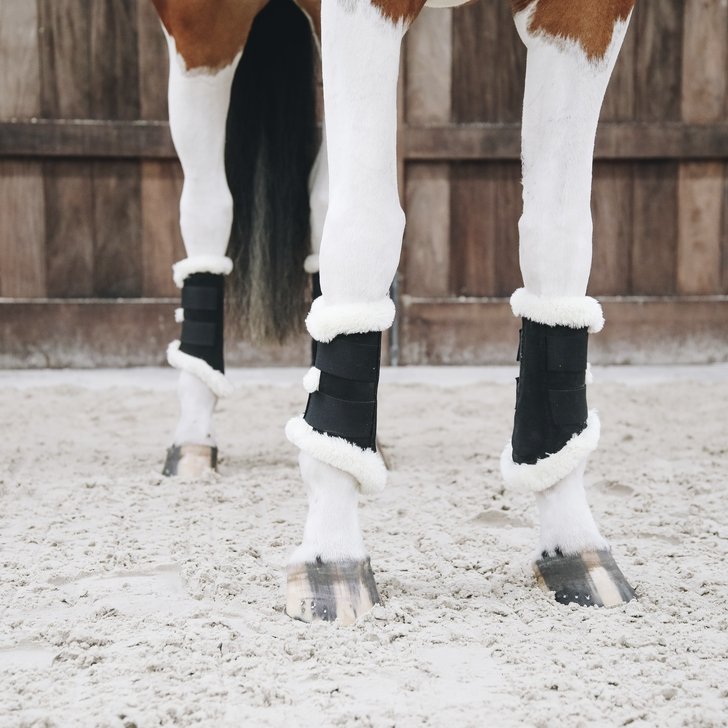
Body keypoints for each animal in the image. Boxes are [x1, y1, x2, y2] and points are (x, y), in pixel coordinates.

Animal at [152, 0, 636, 624]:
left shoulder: (587, 17)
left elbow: (558, 239)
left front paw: (573, 542)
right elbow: (367, 226)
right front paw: (331, 557)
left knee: (319, 198)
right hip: (203, 29)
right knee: (208, 204)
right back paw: (193, 437)